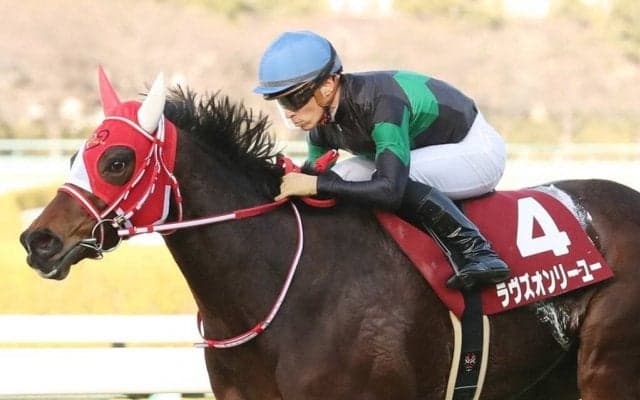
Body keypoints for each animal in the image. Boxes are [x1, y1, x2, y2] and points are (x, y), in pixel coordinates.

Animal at [20, 70, 640, 400]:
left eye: (117, 161)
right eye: (75, 156)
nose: (37, 241)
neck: (282, 286)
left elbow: (393, 181)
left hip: (607, 366)